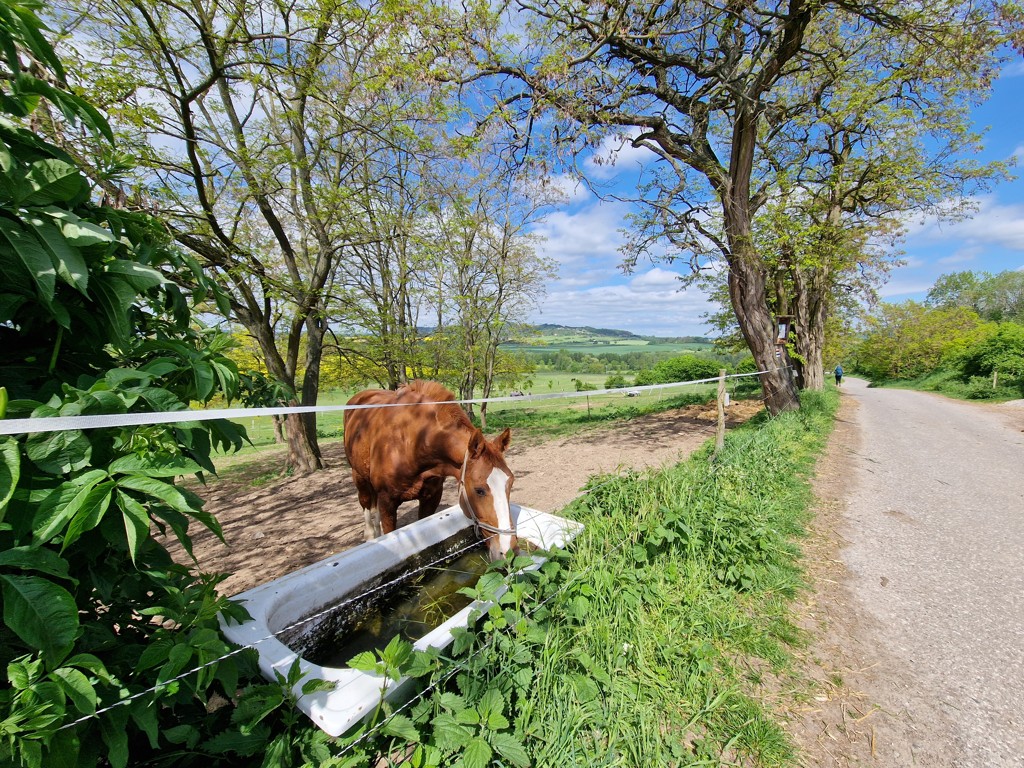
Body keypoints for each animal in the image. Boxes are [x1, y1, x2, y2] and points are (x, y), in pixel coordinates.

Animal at [342, 382, 516, 561]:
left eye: (510, 483)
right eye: (479, 490)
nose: (508, 550)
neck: (413, 441)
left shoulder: (431, 497)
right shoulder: (387, 502)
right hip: (359, 476)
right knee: (366, 503)